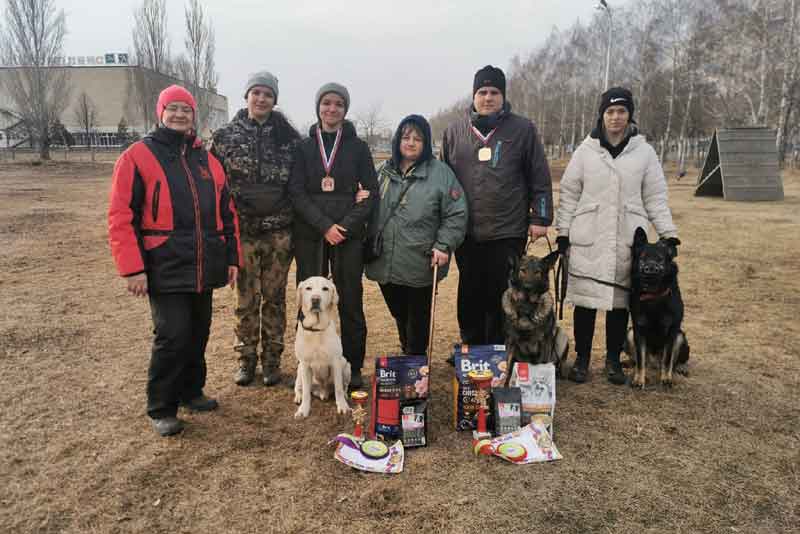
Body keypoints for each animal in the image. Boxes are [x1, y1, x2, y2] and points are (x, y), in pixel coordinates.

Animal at [294, 278, 350, 420]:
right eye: (308, 288)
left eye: (325, 288)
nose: (315, 299)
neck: (316, 330)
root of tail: (322, 391)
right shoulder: (305, 364)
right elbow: (306, 393)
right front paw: (303, 410)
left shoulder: (336, 362)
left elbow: (338, 389)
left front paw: (343, 406)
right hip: (299, 370)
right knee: (299, 387)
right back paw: (298, 397)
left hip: (346, 365)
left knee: (344, 386)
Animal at [500, 252, 568, 384]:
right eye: (522, 270)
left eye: (537, 272)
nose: (528, 287)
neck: (527, 307)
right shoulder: (510, 341)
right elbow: (507, 368)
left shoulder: (545, 343)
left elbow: (543, 365)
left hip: (561, 336)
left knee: (559, 364)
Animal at [632, 228, 688, 392]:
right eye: (643, 257)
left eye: (659, 259)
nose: (649, 268)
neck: (654, 296)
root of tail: (654, 363)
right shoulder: (638, 330)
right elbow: (640, 360)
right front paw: (639, 380)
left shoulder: (672, 331)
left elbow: (667, 360)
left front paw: (666, 379)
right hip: (630, 333)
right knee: (642, 361)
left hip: (680, 336)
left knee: (673, 363)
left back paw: (680, 368)